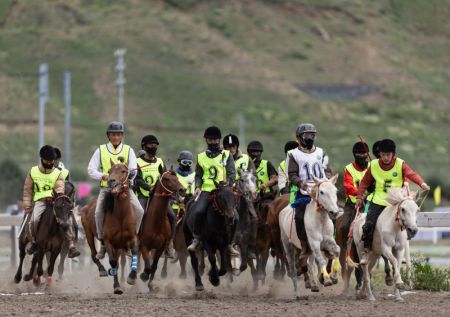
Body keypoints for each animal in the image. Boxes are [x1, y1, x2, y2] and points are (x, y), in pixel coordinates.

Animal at [81, 160, 137, 294]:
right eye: (109, 171)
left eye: (123, 171)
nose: (111, 181)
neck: (121, 215)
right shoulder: (108, 240)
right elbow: (112, 262)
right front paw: (117, 287)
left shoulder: (132, 237)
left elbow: (135, 253)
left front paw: (132, 278)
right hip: (89, 234)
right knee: (93, 254)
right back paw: (102, 268)